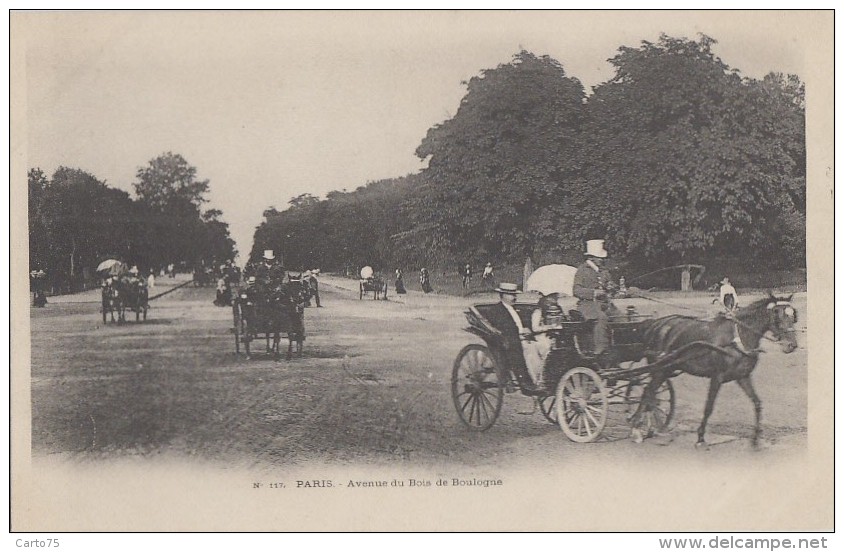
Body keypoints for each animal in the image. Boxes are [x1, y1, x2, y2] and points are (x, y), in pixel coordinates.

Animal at [632, 294, 796, 448]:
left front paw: (755, 440)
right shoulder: (717, 377)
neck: (735, 339)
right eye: (777, 314)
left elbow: (757, 403)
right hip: (660, 370)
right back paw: (636, 429)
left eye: (793, 315)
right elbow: (708, 407)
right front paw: (700, 438)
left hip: (665, 369)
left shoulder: (742, 376)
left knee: (650, 394)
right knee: (648, 393)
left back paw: (650, 428)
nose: (791, 345)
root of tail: (656, 324)